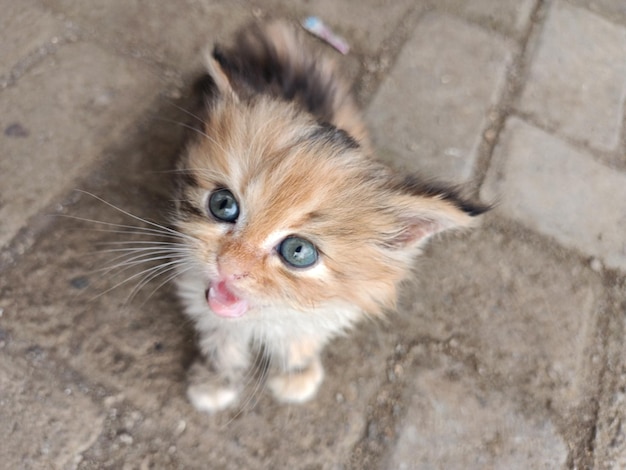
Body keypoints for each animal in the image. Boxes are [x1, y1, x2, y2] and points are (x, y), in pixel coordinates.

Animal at [172, 21, 488, 412]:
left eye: (298, 252)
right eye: (223, 205)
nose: (227, 266)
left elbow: (301, 335)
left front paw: (296, 372)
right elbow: (221, 336)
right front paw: (216, 379)